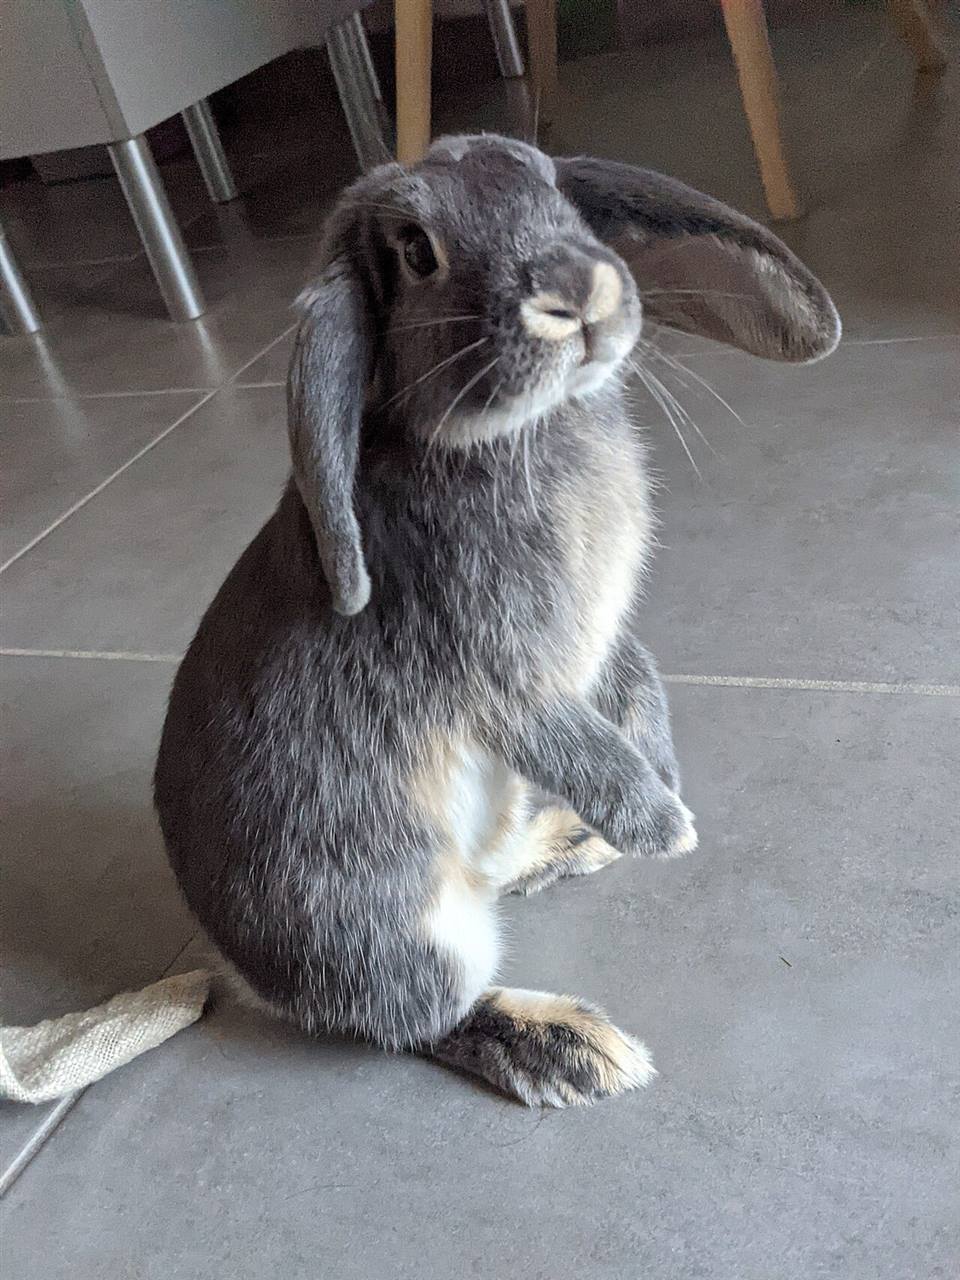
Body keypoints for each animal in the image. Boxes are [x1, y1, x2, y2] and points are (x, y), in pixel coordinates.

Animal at [154, 134, 839, 1107]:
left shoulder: (604, 639)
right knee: (421, 1017)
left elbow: (640, 681)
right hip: (399, 932)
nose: (577, 292)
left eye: (552, 188)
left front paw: (665, 781)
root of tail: (236, 964)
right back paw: (571, 1046)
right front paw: (664, 826)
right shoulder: (496, 675)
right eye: (416, 253)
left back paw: (572, 844)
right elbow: (575, 744)